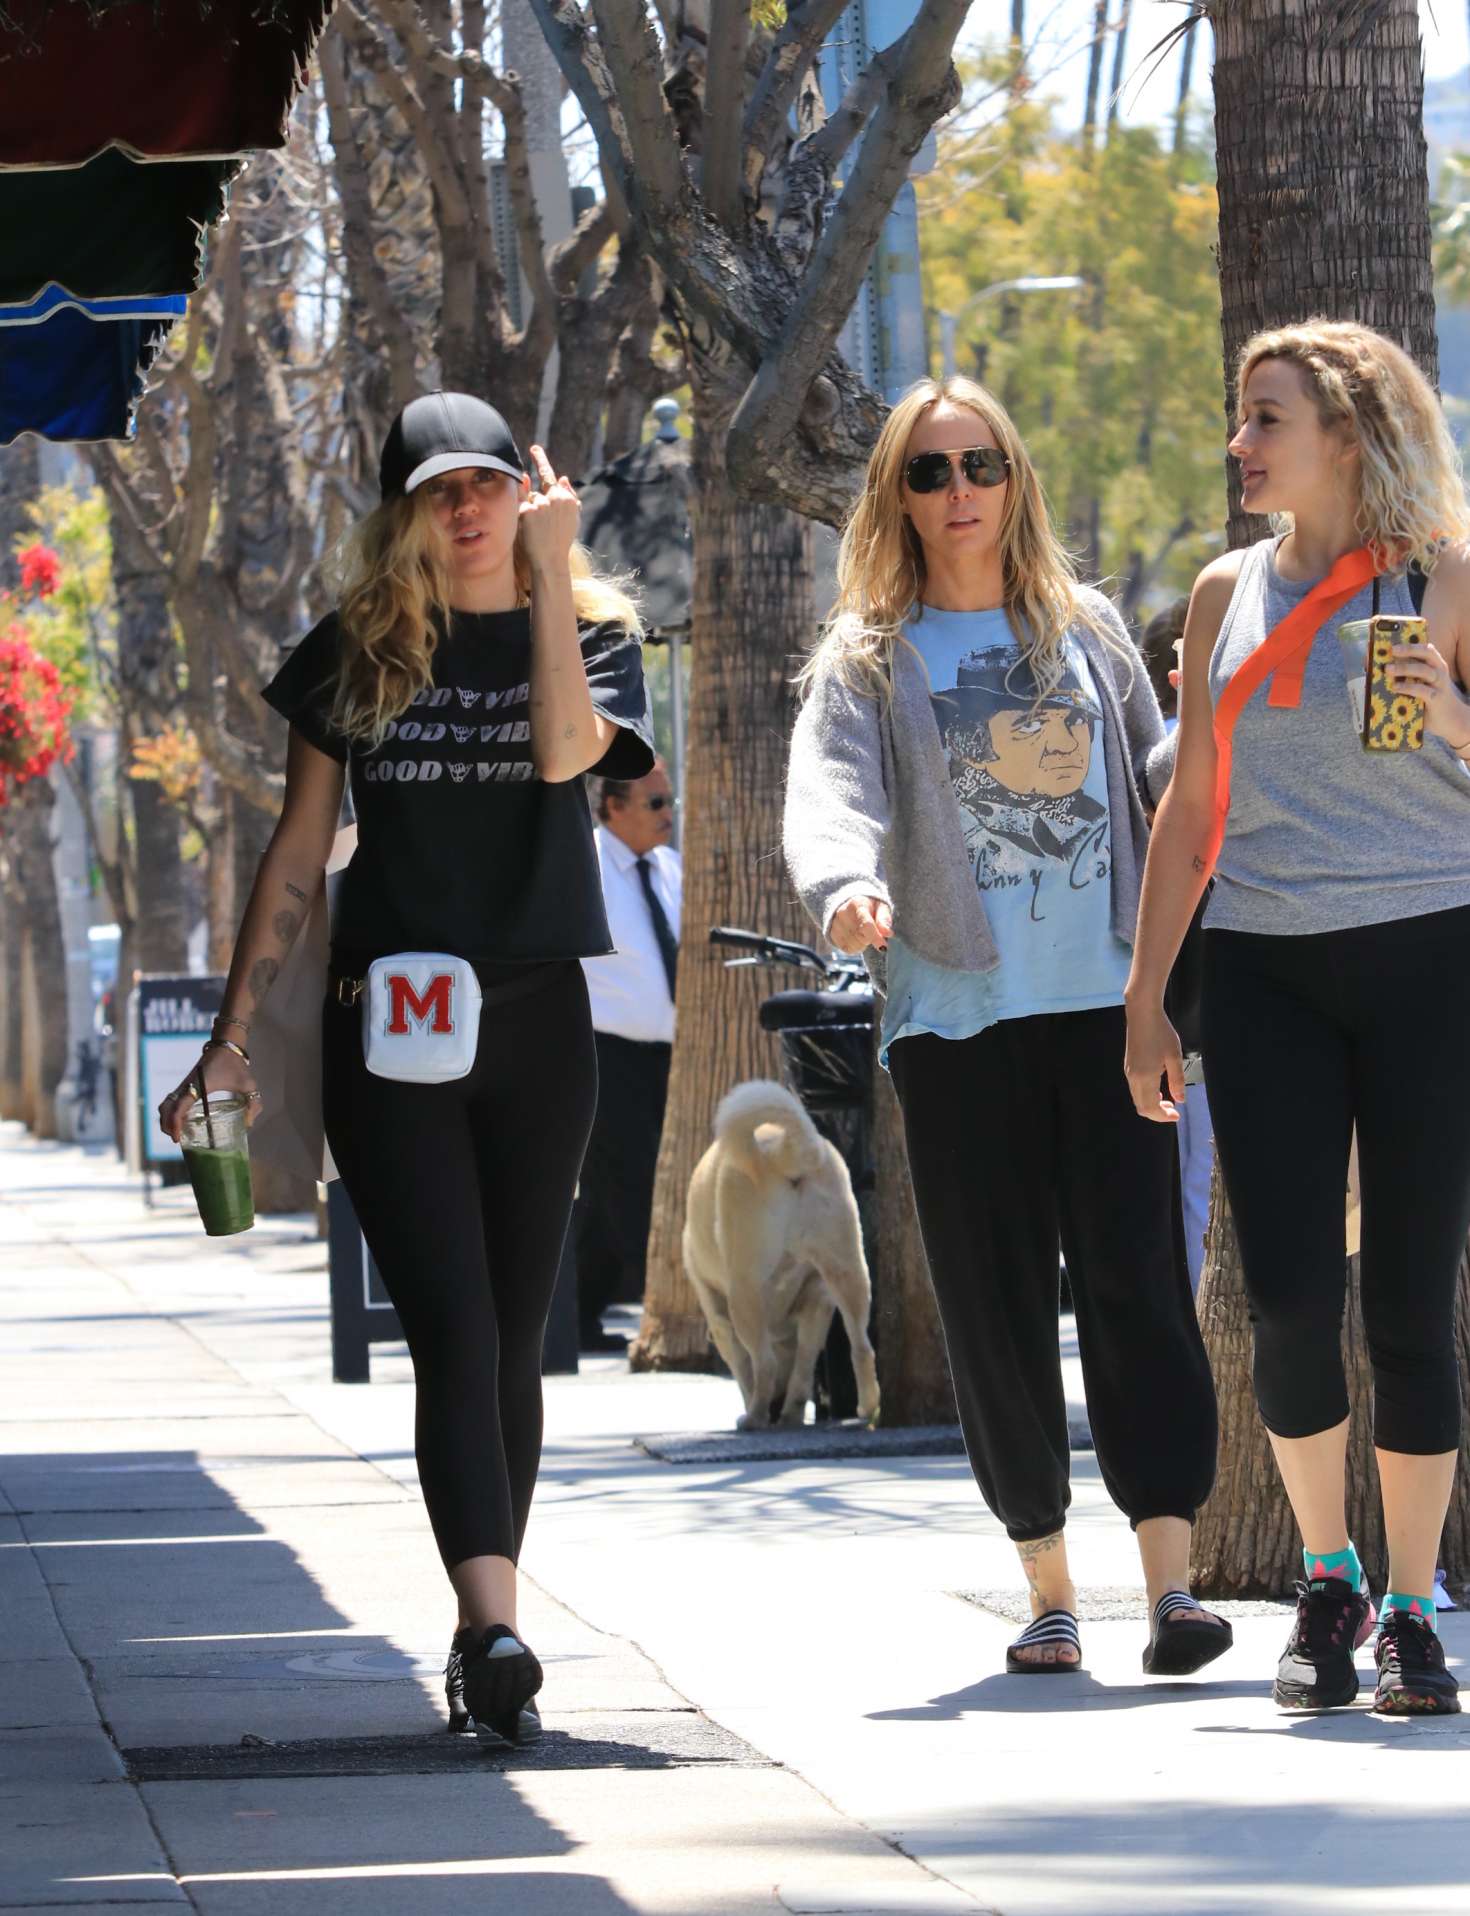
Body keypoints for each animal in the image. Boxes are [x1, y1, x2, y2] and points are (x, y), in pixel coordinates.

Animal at [682, 1088, 881, 1433]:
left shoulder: (720, 1318)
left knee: (765, 1364)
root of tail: (782, 1150)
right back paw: (866, 1409)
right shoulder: (816, 1303)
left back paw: (755, 1417)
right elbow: (801, 1373)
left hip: (744, 1293)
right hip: (847, 1270)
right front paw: (791, 1415)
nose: (776, 1410)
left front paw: (761, 1408)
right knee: (861, 1347)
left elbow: (745, 1370)